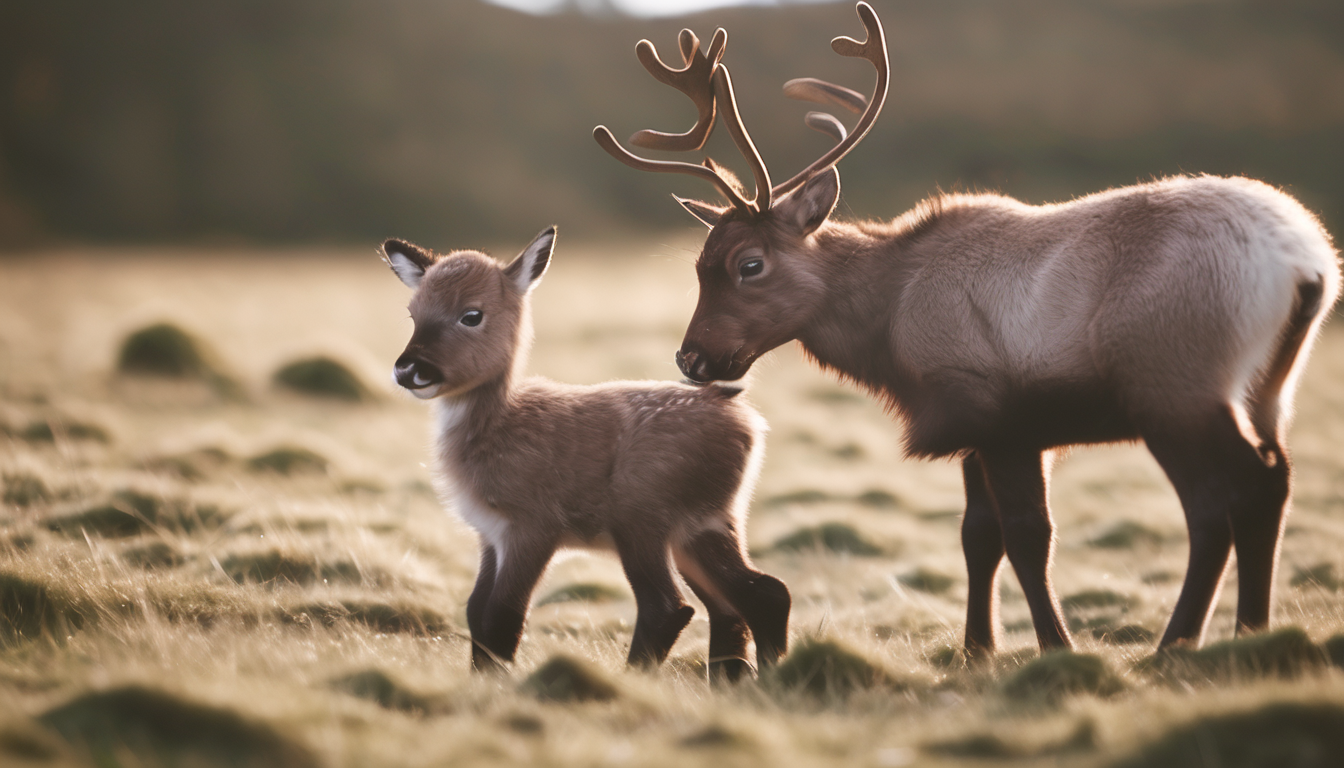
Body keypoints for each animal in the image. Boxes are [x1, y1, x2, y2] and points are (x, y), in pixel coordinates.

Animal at [382, 227, 790, 679]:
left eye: (472, 314)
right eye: (414, 313)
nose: (409, 369)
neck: (501, 427)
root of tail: (745, 418)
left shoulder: (535, 526)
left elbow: (503, 614)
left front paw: (496, 683)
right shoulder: (489, 534)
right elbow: (475, 611)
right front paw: (479, 678)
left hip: (642, 518)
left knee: (671, 606)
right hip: (706, 524)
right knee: (752, 595)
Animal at [594, 1, 1340, 660]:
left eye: (749, 263)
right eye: (698, 264)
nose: (694, 359)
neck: (888, 327)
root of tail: (1306, 263)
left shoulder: (1002, 417)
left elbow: (1028, 538)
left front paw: (1054, 647)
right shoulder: (979, 432)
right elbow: (977, 538)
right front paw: (977, 648)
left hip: (1176, 388)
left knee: (1219, 503)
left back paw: (1175, 644)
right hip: (1268, 389)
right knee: (1273, 480)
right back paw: (1252, 632)